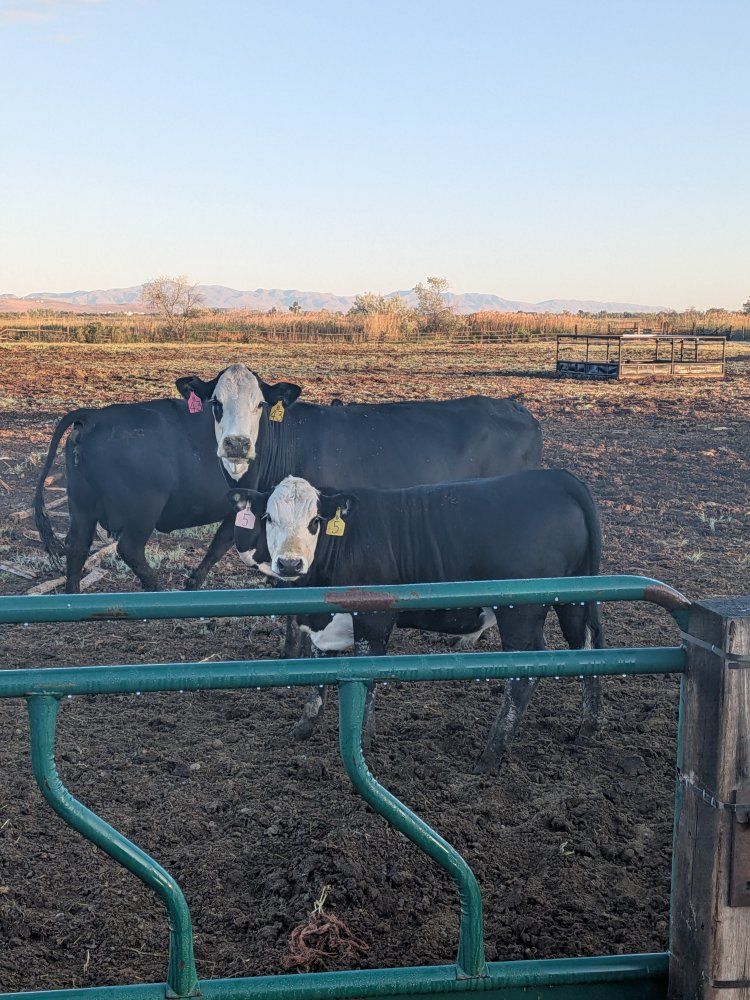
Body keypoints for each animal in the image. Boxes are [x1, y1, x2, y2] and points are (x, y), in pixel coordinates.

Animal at [229, 470, 604, 773]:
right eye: (268, 517)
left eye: (315, 520)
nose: (290, 564)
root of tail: (557, 479)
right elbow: (319, 674)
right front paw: (305, 726)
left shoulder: (374, 620)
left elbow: (367, 679)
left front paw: (362, 739)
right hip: (574, 602)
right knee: (586, 647)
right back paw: (588, 727)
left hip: (520, 613)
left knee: (524, 673)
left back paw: (489, 755)